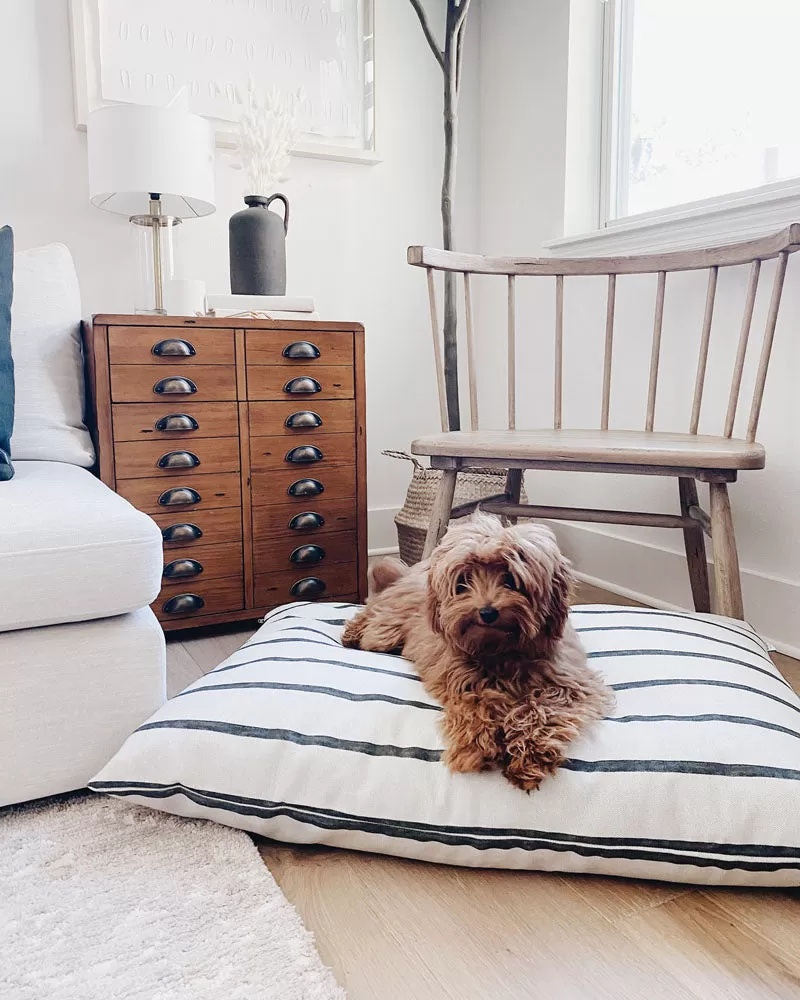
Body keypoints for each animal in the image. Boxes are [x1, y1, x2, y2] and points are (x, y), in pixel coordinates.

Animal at [342, 516, 612, 788]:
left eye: (511, 579)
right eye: (463, 582)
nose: (487, 612)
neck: (501, 652)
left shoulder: (569, 684)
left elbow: (542, 708)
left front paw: (529, 752)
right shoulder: (459, 677)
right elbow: (476, 704)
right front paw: (477, 746)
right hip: (386, 627)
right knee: (370, 615)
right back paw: (352, 635)